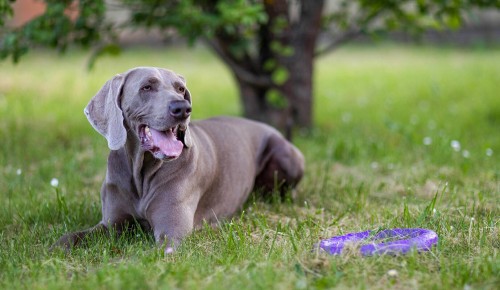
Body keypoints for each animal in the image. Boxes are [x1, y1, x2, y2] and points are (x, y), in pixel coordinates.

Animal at [51, 67, 304, 253]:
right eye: (147, 87)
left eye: (181, 89)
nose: (183, 108)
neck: (141, 172)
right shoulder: (111, 224)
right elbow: (71, 237)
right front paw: (56, 248)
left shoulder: (171, 234)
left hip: (286, 157)